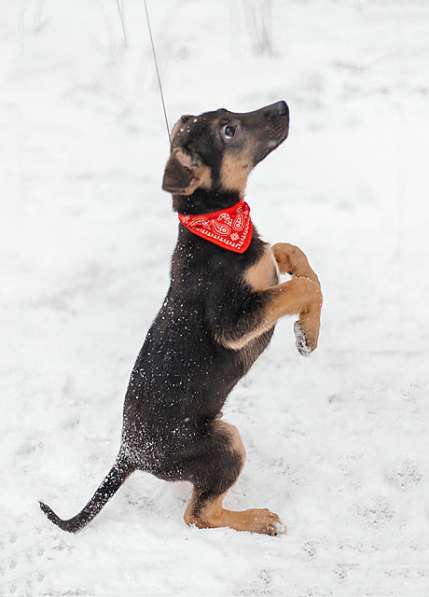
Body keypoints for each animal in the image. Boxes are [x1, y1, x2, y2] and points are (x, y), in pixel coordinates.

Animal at [41, 101, 320, 536]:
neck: (214, 225)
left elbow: (292, 257)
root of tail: (129, 454)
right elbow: (299, 288)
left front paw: (308, 330)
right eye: (228, 129)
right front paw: (308, 332)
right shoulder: (232, 322)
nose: (283, 106)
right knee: (198, 516)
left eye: (228, 115)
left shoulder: (265, 270)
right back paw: (259, 519)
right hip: (224, 444)